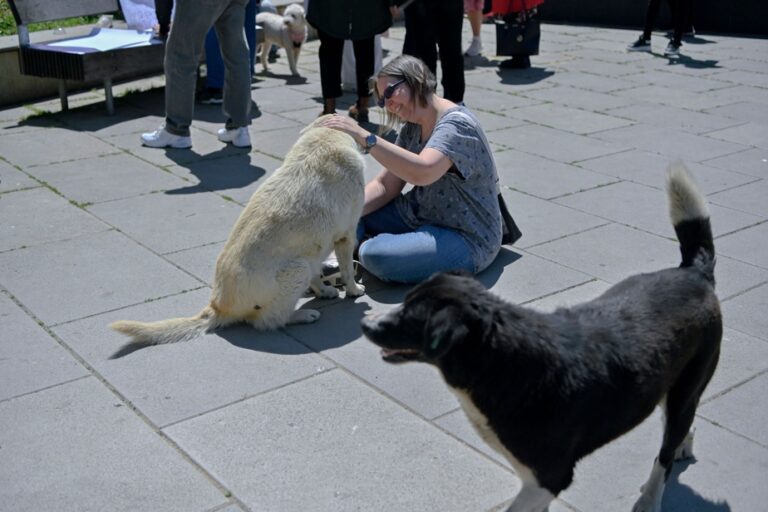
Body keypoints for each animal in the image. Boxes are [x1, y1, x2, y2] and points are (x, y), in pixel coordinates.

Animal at [107, 115, 366, 356]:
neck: (324, 137)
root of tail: (218, 306)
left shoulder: (317, 246)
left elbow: (319, 272)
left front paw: (324, 289)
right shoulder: (345, 236)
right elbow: (347, 269)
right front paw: (353, 290)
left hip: (303, 262)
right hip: (297, 269)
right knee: (267, 321)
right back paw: (302, 315)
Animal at [360, 164, 720, 512]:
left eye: (411, 318)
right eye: (404, 302)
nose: (365, 325)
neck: (496, 360)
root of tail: (694, 273)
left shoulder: (549, 477)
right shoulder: (534, 481)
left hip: (685, 387)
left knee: (665, 452)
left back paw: (649, 498)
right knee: (679, 426)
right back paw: (684, 447)